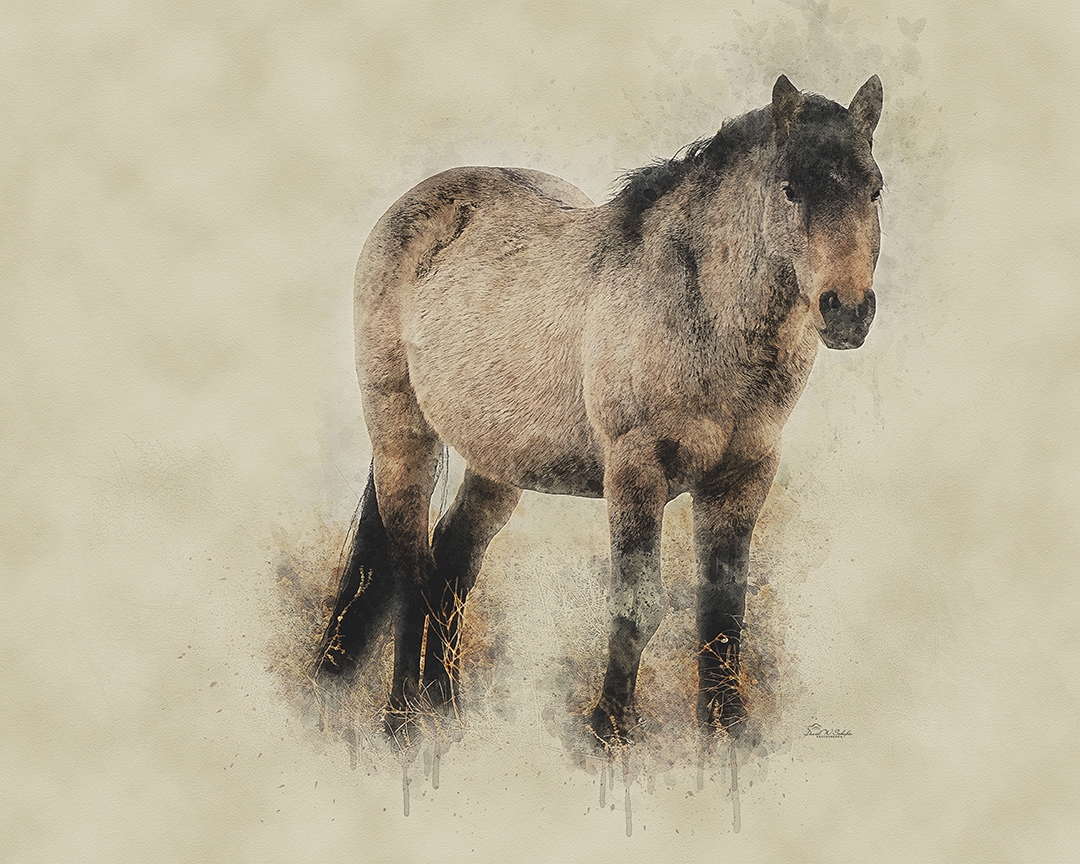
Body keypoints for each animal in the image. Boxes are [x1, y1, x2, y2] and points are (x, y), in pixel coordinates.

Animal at [314, 75, 884, 746]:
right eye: (791, 189)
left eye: (874, 189)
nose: (847, 310)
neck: (699, 313)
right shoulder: (635, 471)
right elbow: (638, 606)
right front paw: (606, 734)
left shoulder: (741, 479)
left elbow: (724, 612)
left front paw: (726, 735)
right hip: (405, 440)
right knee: (413, 570)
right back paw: (403, 720)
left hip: (497, 462)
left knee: (452, 561)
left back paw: (446, 710)